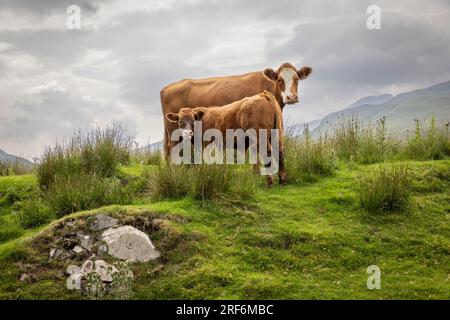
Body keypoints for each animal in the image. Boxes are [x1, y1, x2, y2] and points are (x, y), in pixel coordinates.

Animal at [162, 62, 312, 158]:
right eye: (280, 80)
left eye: (297, 79)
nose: (291, 97)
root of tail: (166, 88)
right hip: (174, 132)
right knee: (171, 150)